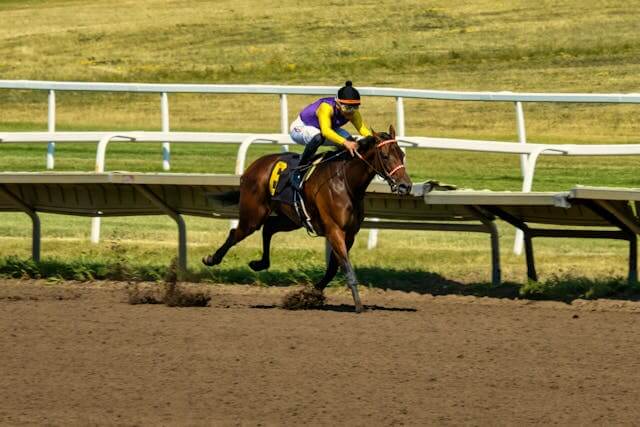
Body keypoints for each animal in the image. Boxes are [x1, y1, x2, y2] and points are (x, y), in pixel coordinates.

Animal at [205, 125, 416, 312]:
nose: (405, 186)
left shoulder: (349, 234)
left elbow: (333, 268)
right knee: (236, 233)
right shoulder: (334, 230)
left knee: (269, 228)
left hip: (290, 218)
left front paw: (308, 295)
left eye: (402, 154)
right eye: (385, 156)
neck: (346, 182)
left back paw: (260, 263)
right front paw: (358, 305)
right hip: (253, 215)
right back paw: (211, 259)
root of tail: (253, 168)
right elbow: (346, 266)